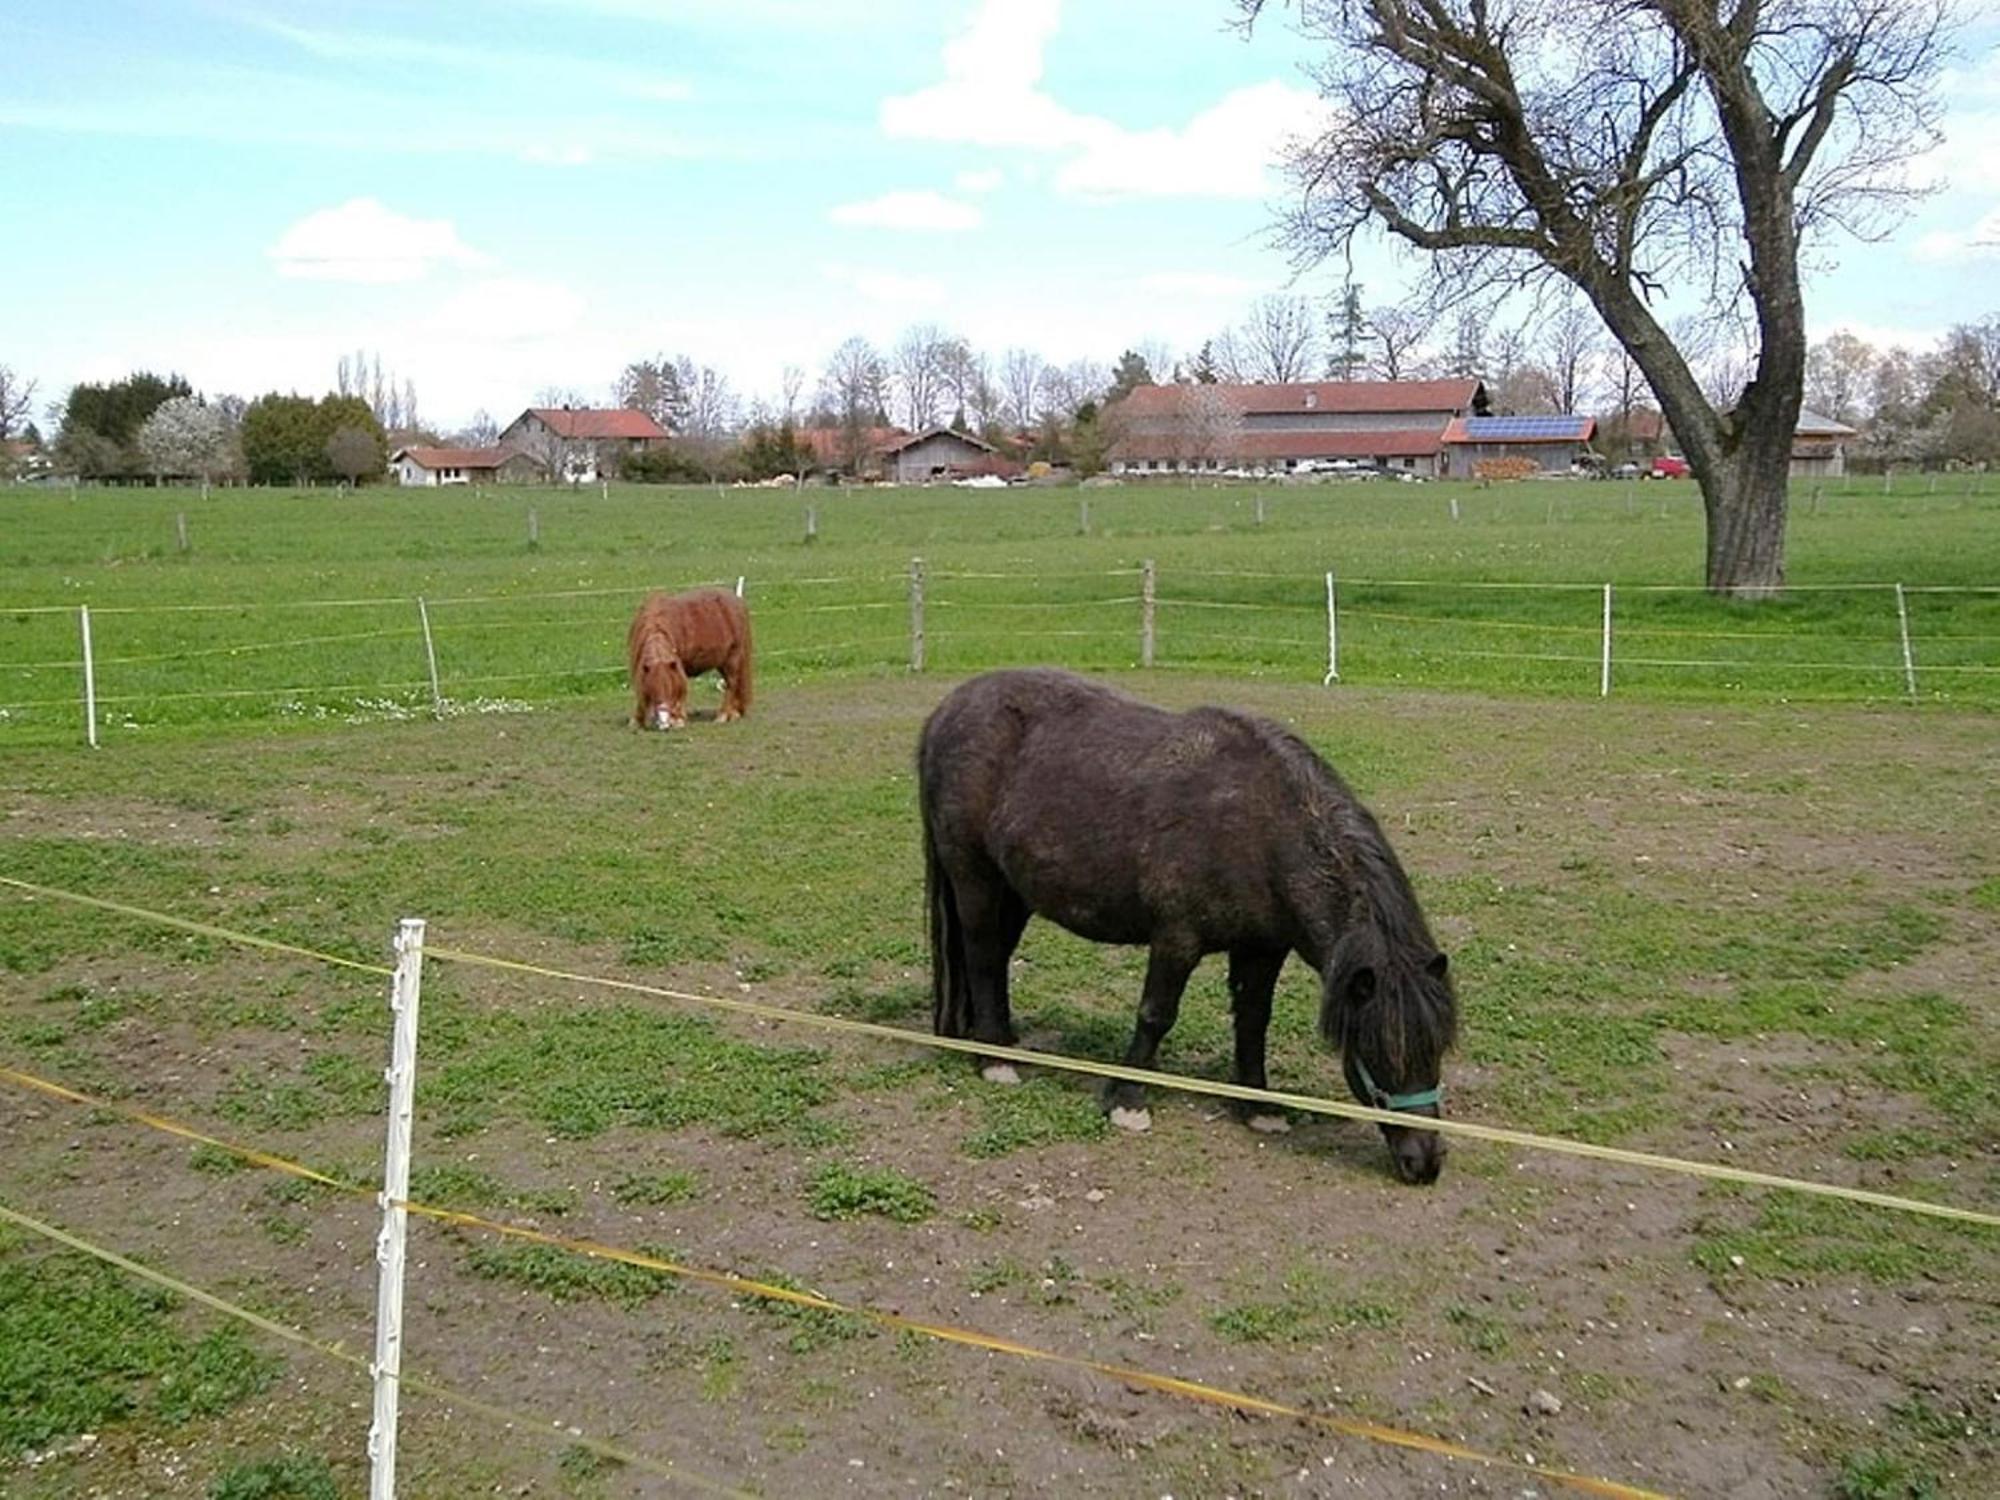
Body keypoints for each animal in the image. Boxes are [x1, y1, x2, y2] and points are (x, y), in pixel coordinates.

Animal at [624, 584, 752, 732]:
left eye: (670, 690)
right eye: (653, 691)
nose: (664, 724)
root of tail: (738, 601)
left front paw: (678, 719)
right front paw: (637, 721)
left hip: (732, 659)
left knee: (731, 684)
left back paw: (723, 715)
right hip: (722, 663)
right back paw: (734, 713)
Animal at [916, 668, 1456, 1184]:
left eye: (1438, 1048)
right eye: (1378, 1049)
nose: (1425, 1162)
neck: (1261, 828)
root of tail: (946, 712)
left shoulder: (1262, 948)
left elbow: (1253, 1021)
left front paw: (1258, 1108)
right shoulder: (1177, 939)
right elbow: (1156, 1015)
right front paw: (1128, 1100)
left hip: (1016, 891)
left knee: (995, 961)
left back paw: (999, 1042)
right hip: (976, 878)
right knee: (982, 955)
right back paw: (995, 1061)